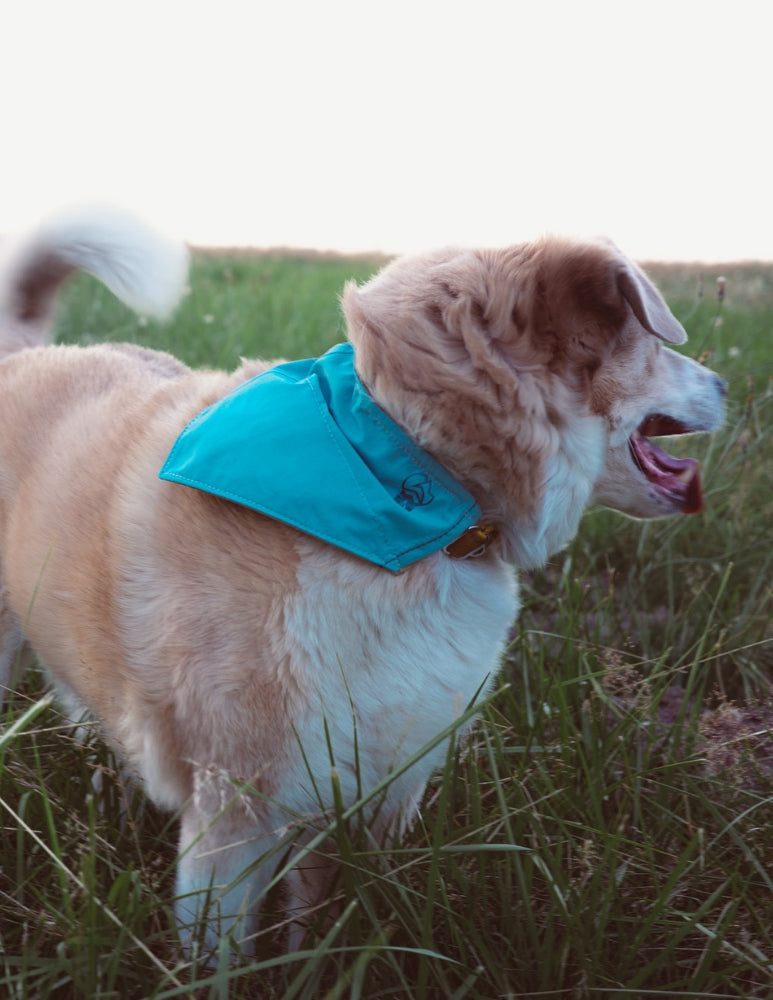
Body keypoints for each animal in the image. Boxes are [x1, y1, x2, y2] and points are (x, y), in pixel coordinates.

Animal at [0, 209, 724, 952]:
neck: (402, 466)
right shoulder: (235, 814)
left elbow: (319, 928)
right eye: (652, 342)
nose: (726, 387)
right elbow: (220, 955)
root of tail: (21, 350)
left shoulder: (376, 790)